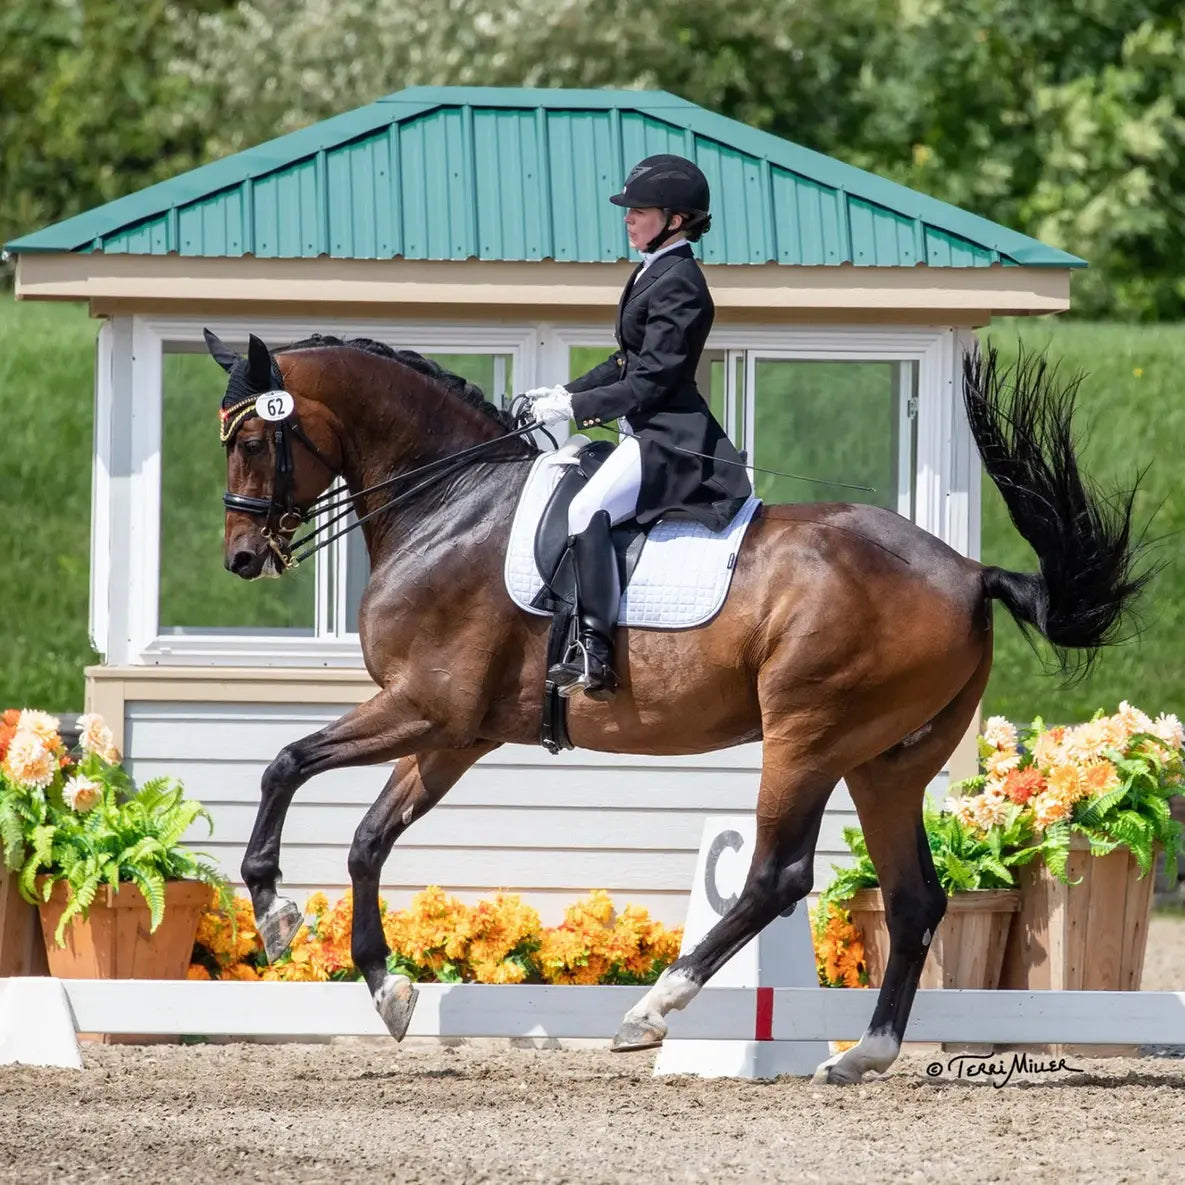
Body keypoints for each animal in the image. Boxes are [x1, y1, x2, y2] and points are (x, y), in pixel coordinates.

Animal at [205, 329, 1148, 1084]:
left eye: (251, 436)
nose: (243, 556)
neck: (449, 506)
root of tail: (966, 571)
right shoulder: (452, 733)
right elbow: (368, 839)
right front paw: (387, 988)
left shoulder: (424, 707)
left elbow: (285, 762)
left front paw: (275, 913)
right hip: (886, 762)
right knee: (913, 898)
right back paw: (863, 1056)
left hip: (806, 737)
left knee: (776, 876)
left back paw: (652, 1009)